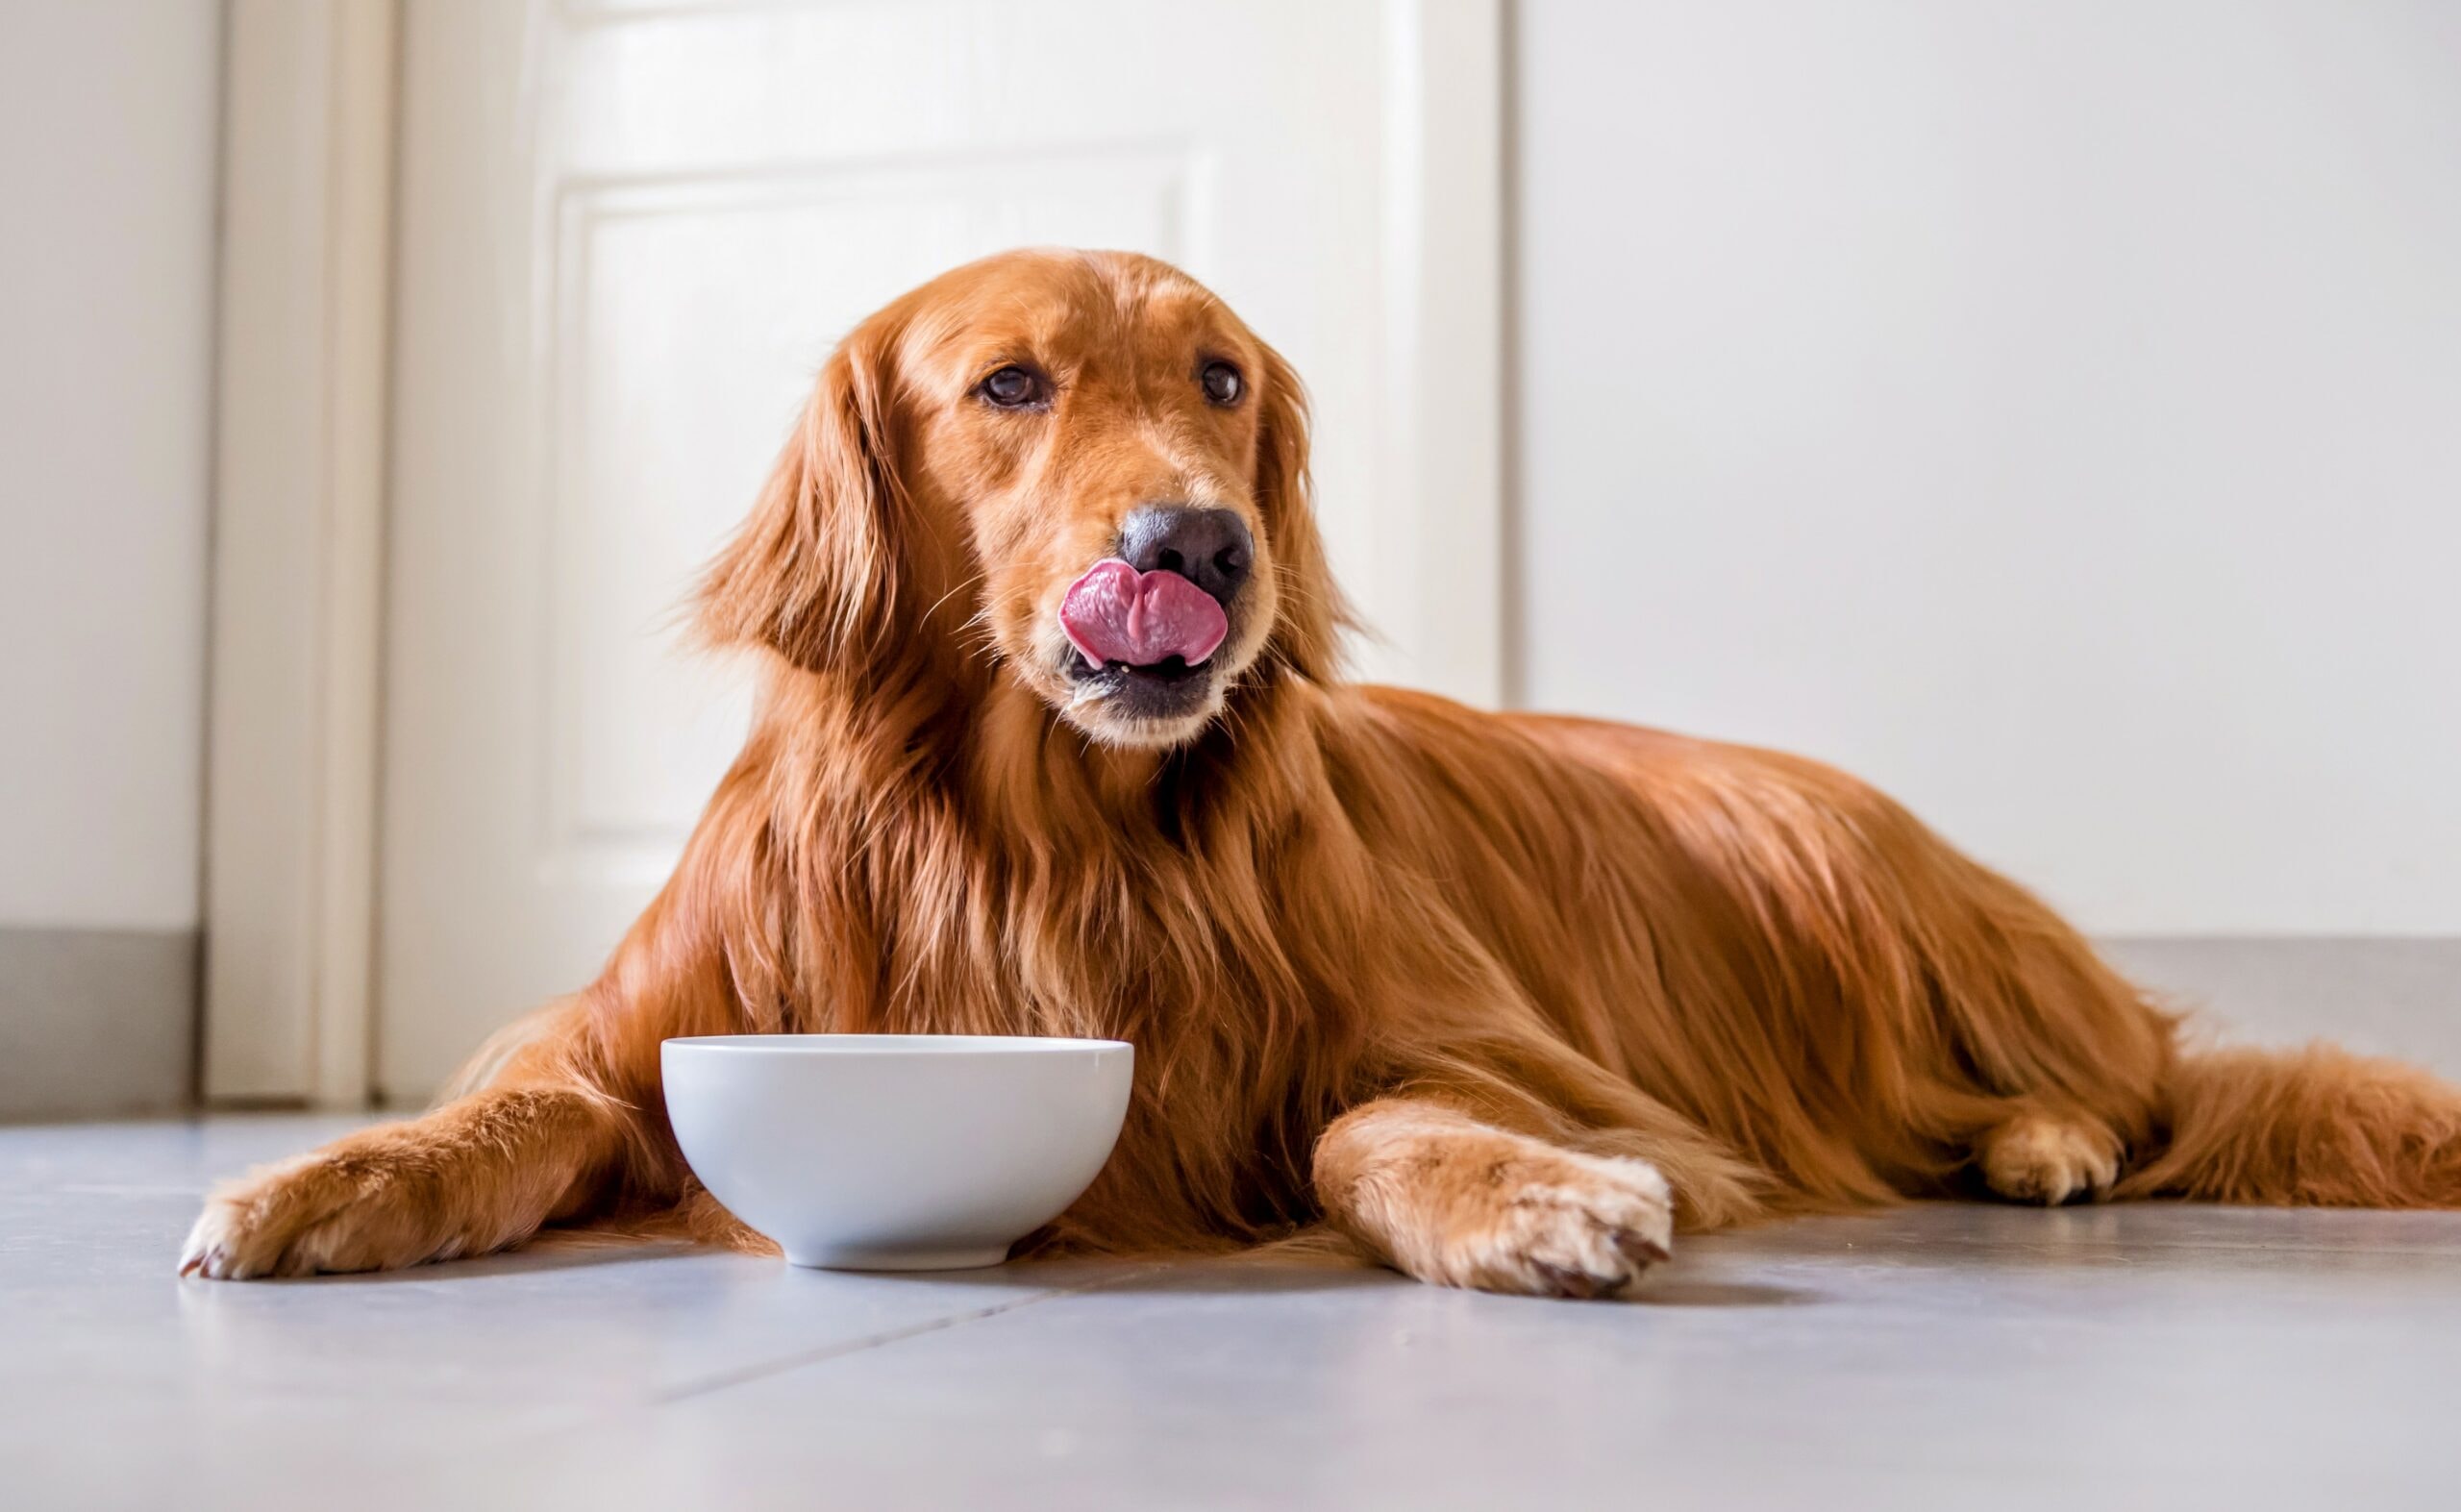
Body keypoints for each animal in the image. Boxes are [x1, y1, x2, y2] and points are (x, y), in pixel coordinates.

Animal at [178, 255, 2461, 1300]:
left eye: (1220, 378)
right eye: (1008, 385)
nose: (1197, 544)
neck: (1037, 837)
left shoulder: (1502, 1049)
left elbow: (1380, 1115)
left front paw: (1526, 1198)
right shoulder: (653, 1020)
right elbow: (514, 1112)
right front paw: (313, 1182)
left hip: (1847, 884)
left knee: (2138, 1082)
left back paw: (2051, 1137)